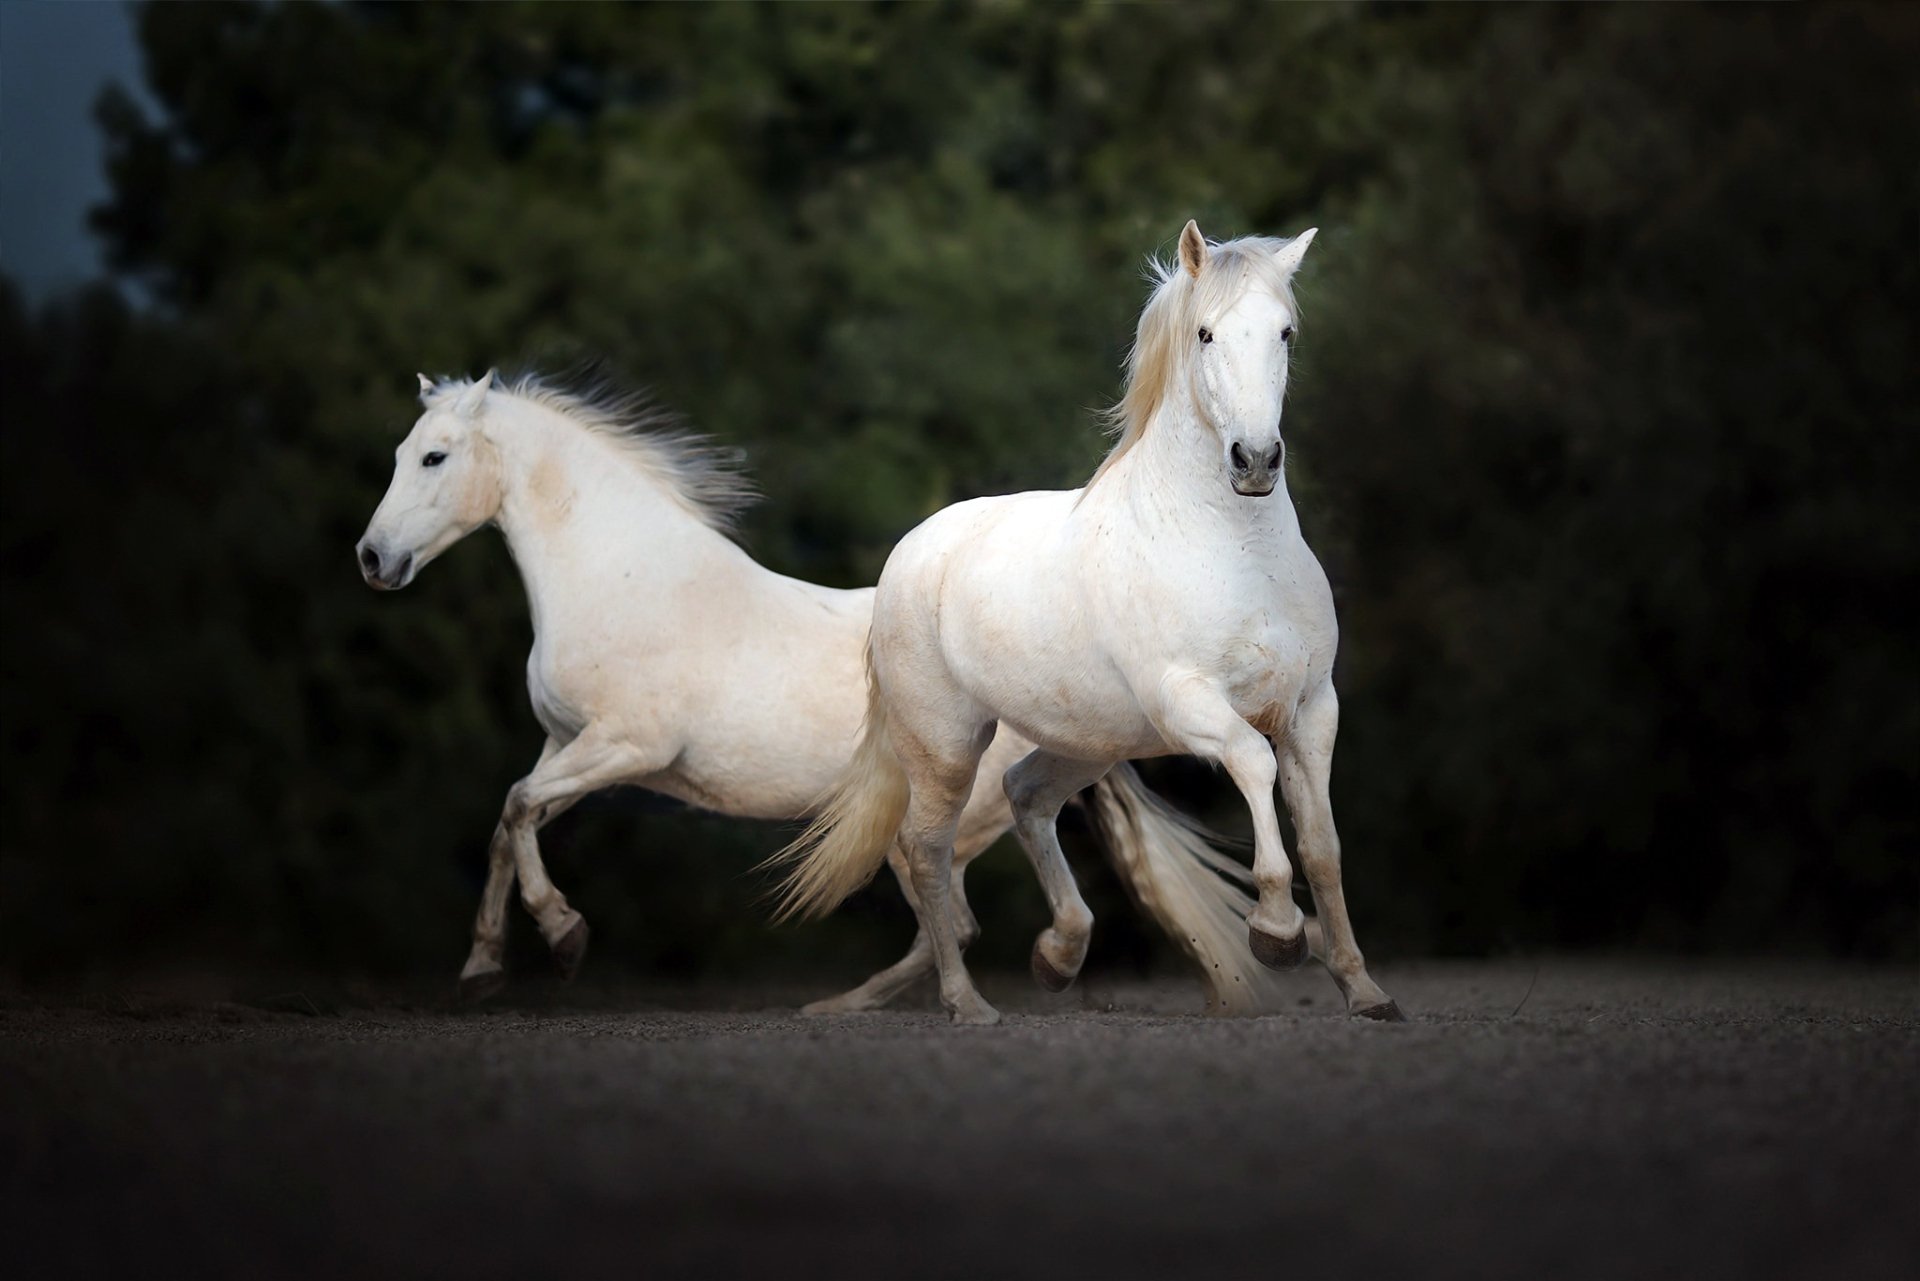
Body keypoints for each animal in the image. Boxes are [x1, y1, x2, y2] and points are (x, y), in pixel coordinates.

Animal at [354, 368, 1311, 1013]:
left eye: (433, 456)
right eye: (401, 451)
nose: (372, 558)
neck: (625, 578)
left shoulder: (624, 746)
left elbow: (516, 807)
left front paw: (562, 937)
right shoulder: (569, 745)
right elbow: (507, 821)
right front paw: (484, 967)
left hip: (943, 818)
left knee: (951, 919)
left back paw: (866, 1005)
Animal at [773, 222, 1401, 1026]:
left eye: (1285, 332)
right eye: (1204, 333)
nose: (1256, 460)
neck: (1238, 553)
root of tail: (909, 555)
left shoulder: (1312, 709)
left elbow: (1323, 842)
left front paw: (1363, 989)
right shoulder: (1192, 704)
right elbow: (1254, 766)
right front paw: (1277, 932)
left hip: (1090, 742)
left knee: (1026, 794)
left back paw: (1060, 953)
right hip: (946, 747)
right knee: (926, 849)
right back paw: (968, 1003)